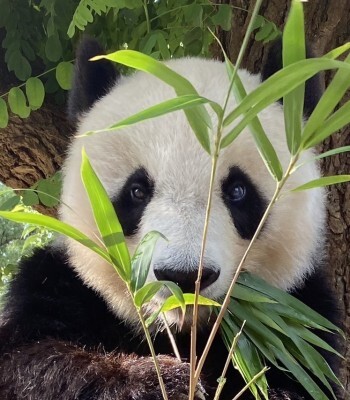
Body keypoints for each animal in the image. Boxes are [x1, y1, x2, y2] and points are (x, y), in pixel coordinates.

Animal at [0, 39, 340, 400]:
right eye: (137, 191)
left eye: (237, 191)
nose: (184, 276)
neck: (179, 330)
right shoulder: (60, 286)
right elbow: (30, 361)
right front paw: (161, 380)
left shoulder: (300, 321)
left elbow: (295, 380)